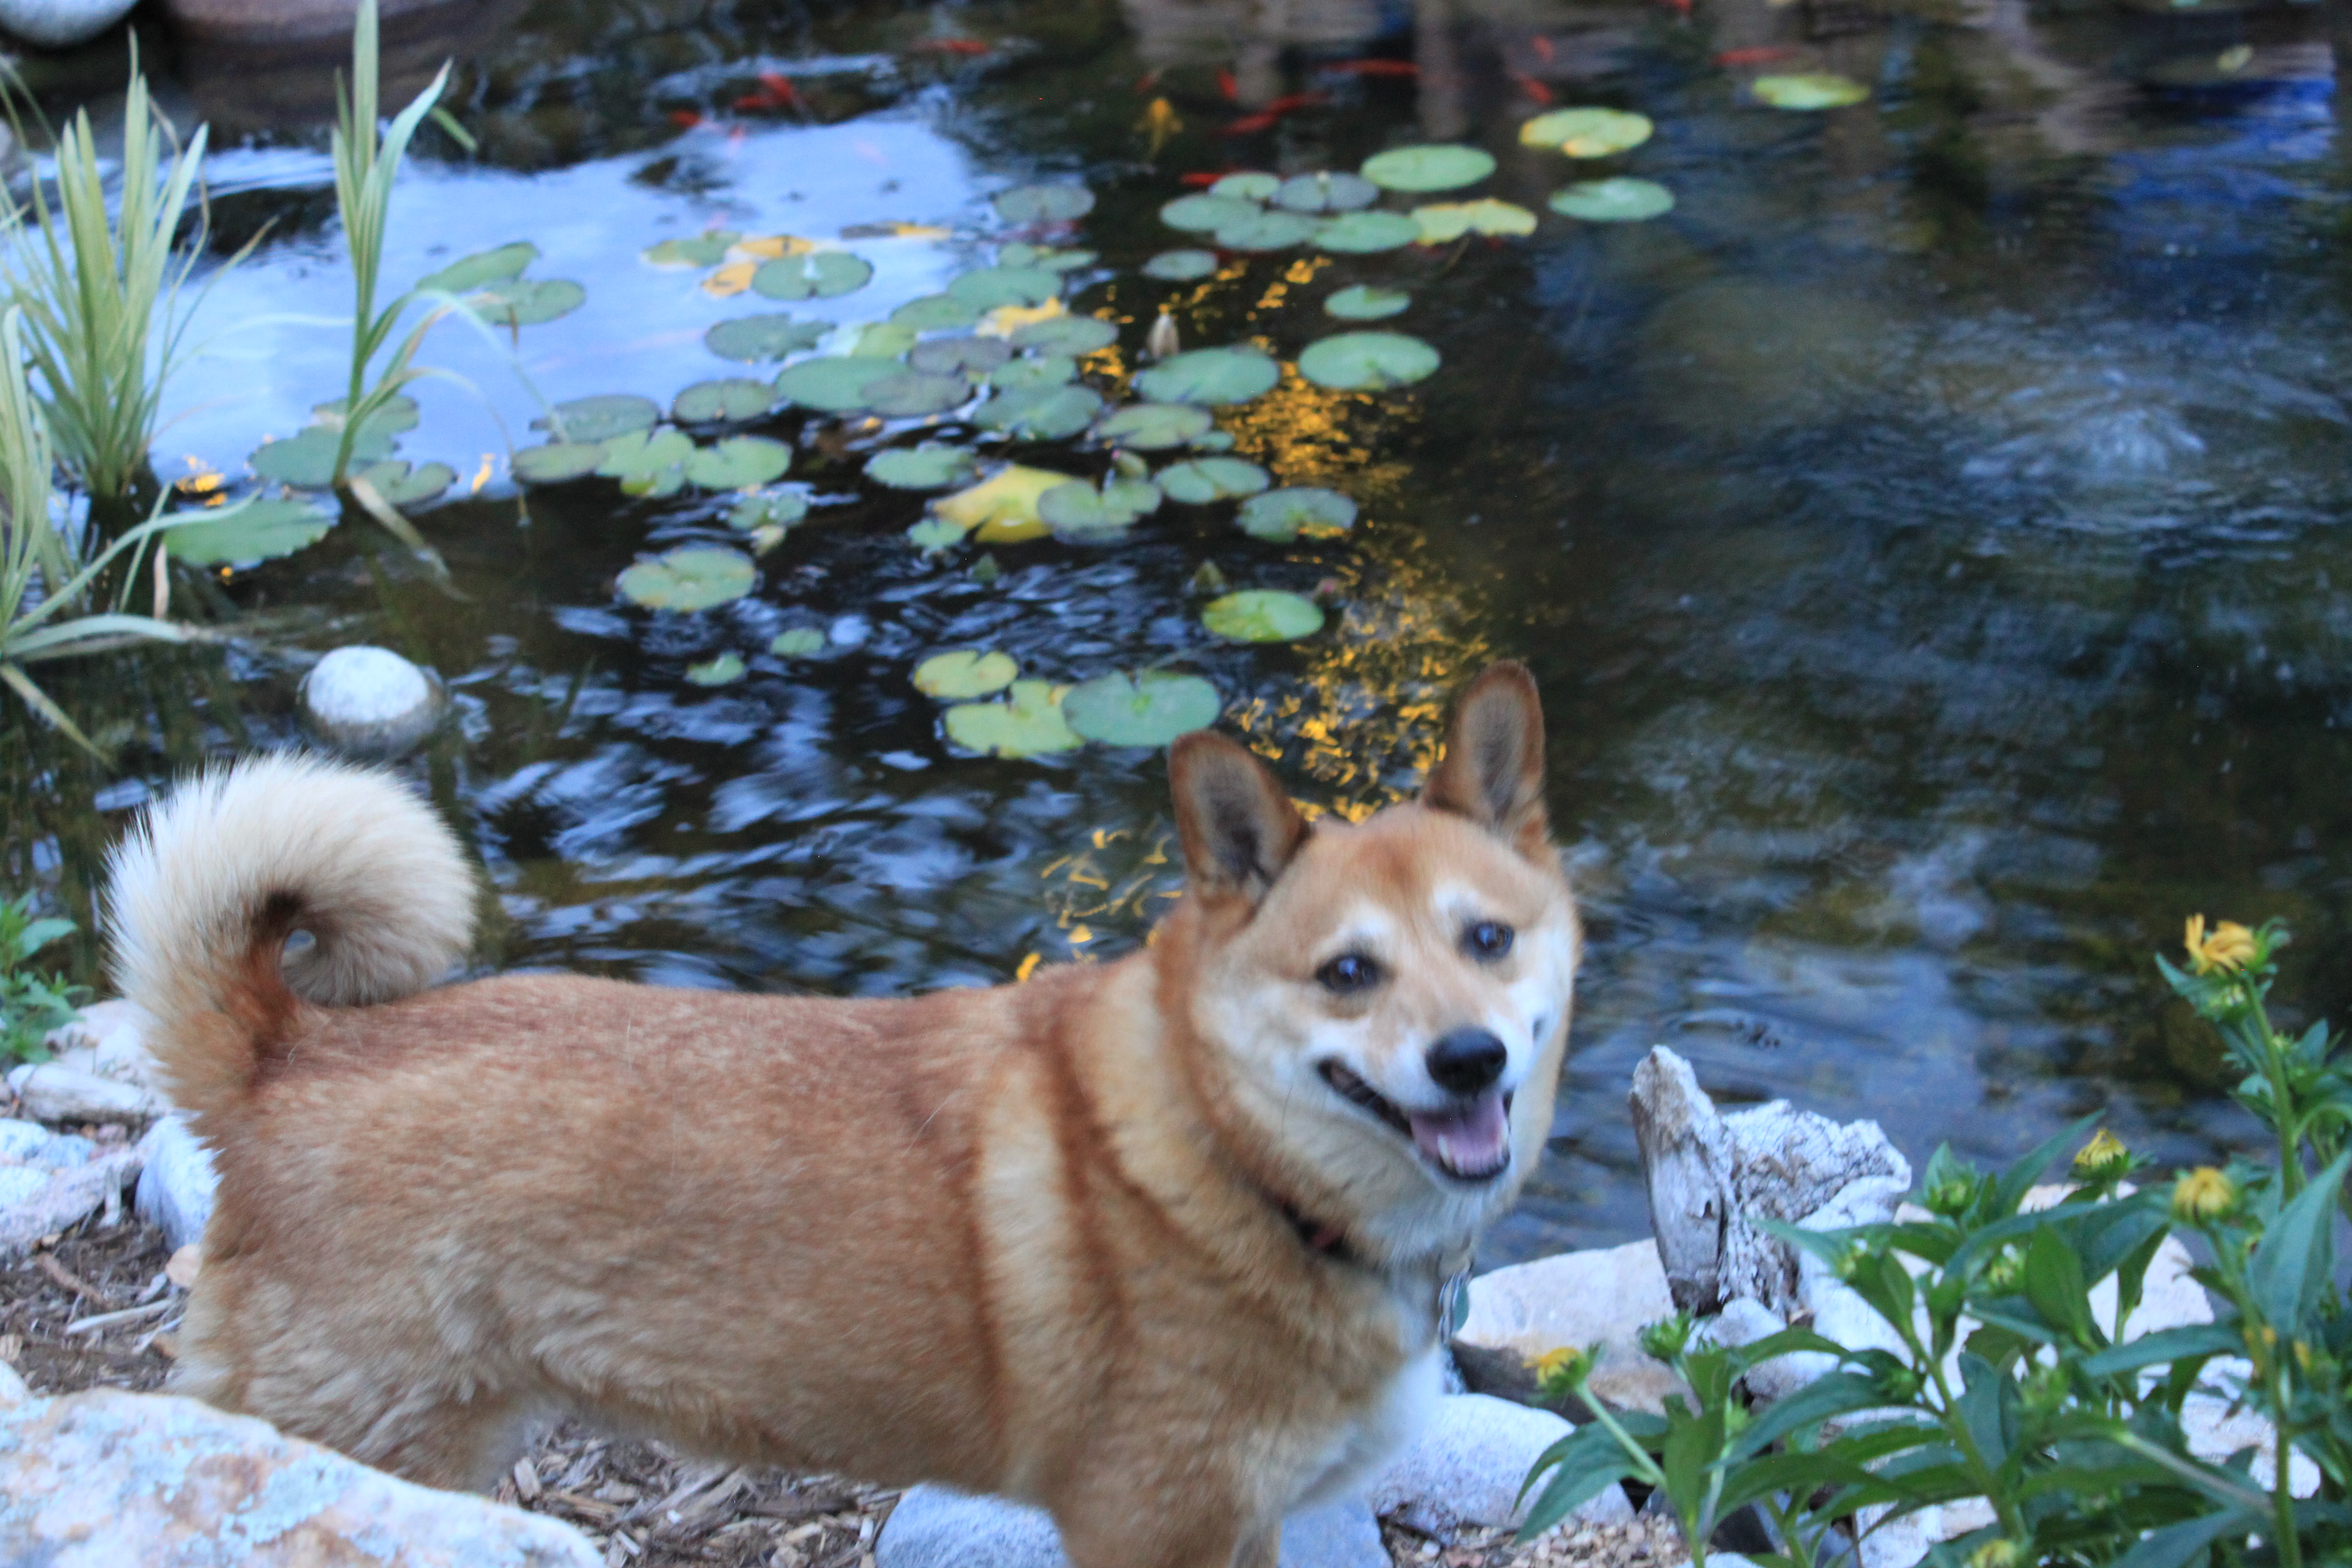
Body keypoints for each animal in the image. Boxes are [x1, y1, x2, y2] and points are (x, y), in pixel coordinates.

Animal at [110, 663, 1580, 1568]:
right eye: (1347, 973)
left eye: (1487, 939)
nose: (1466, 1060)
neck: (1225, 1163)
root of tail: (286, 1055)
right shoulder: (1148, 1528)